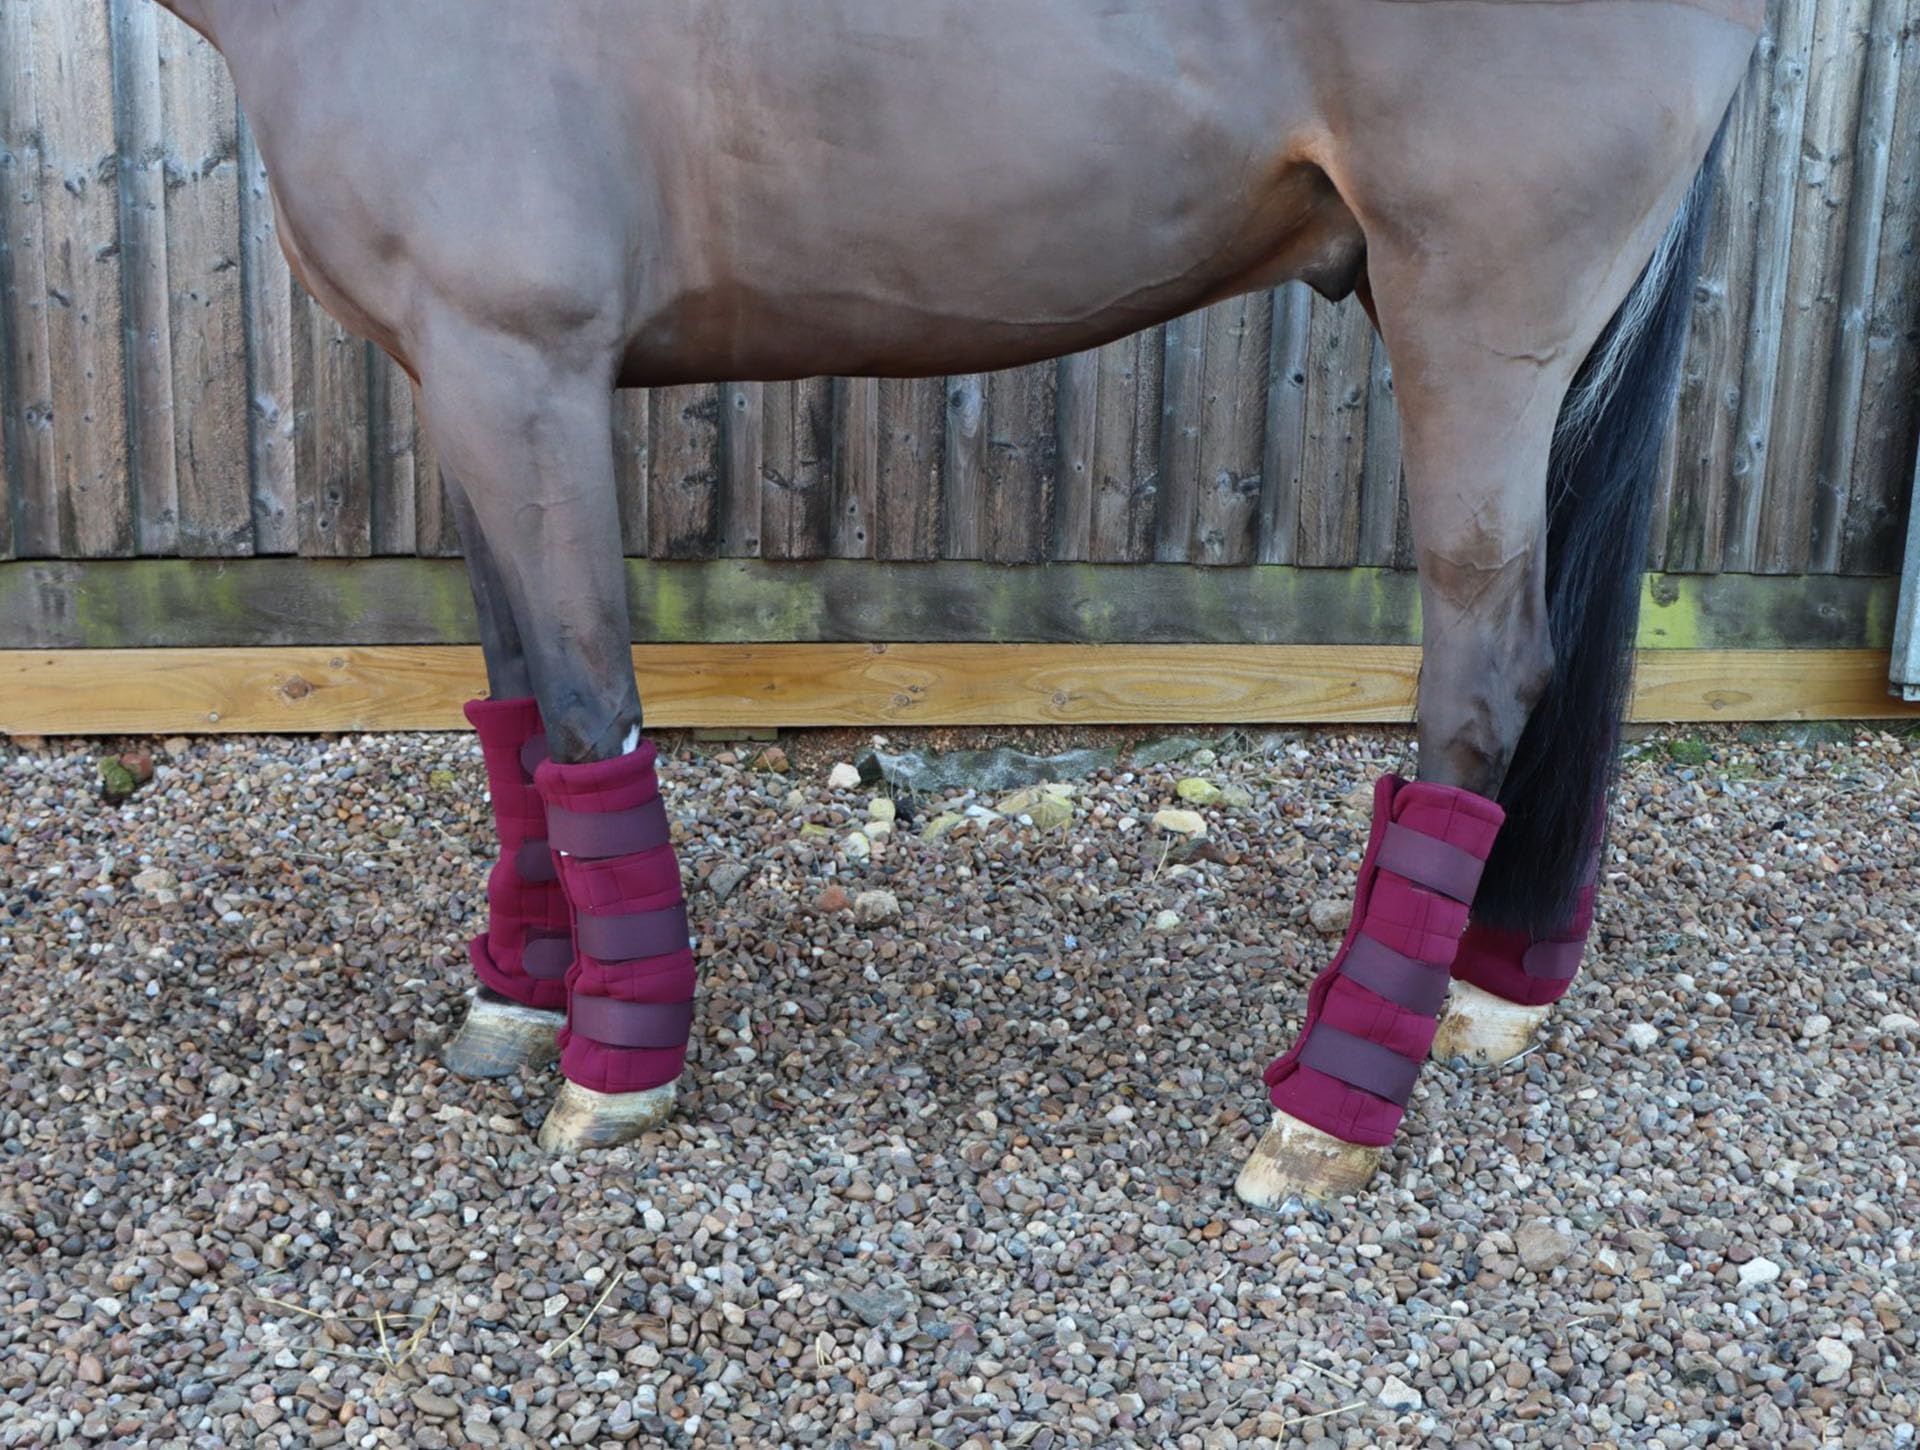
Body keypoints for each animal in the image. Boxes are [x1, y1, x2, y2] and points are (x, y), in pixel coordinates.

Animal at [153, 0, 1762, 1202]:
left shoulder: (519, 361)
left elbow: (588, 701)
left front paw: (615, 1067)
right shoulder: (462, 375)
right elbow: (518, 702)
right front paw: (519, 997)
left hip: (1474, 321)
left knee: (1487, 673)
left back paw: (1327, 1112)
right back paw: (1493, 987)